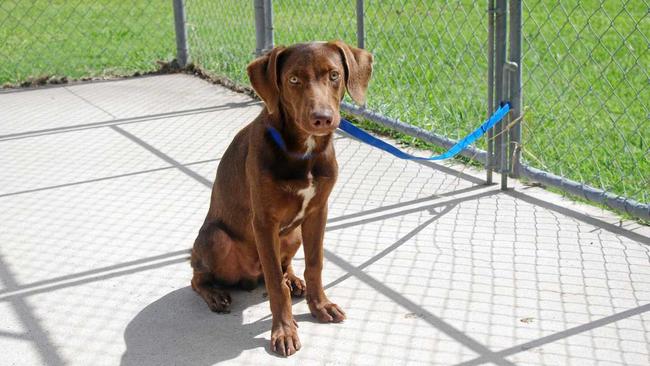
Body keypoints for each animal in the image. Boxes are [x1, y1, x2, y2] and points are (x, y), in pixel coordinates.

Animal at [189, 40, 370, 358]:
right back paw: (215, 294)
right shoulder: (264, 221)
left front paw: (319, 305)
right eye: (293, 79)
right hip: (216, 238)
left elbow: (314, 264)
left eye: (334, 75)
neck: (304, 150)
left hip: (292, 234)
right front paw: (284, 330)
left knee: (285, 266)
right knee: (198, 277)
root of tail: (250, 276)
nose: (322, 118)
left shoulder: (318, 212)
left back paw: (294, 280)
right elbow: (275, 284)